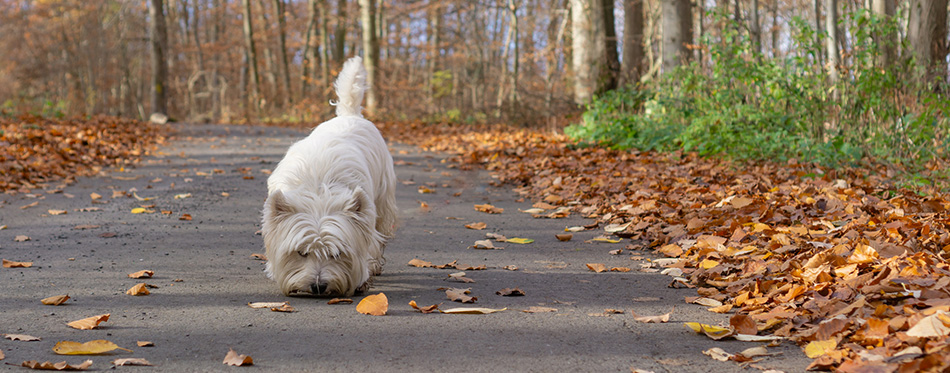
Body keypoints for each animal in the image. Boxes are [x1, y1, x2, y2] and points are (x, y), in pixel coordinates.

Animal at [262, 57, 396, 296]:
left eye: (337, 253)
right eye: (301, 252)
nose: (318, 286)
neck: (318, 190)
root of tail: (350, 114)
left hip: (383, 199)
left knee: (379, 233)